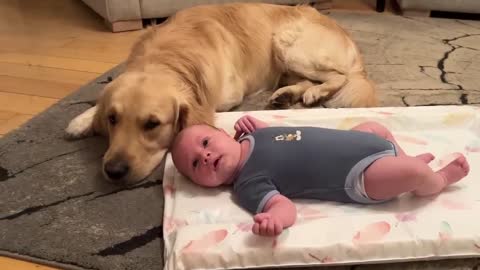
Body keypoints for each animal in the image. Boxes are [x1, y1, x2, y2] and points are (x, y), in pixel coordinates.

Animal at [65, 2, 376, 186]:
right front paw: (82, 120)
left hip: (289, 44)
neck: (169, 57)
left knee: (340, 76)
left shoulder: (226, 96)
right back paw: (286, 95)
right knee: (304, 80)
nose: (113, 171)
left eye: (152, 124)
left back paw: (316, 93)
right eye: (112, 119)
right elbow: (99, 99)